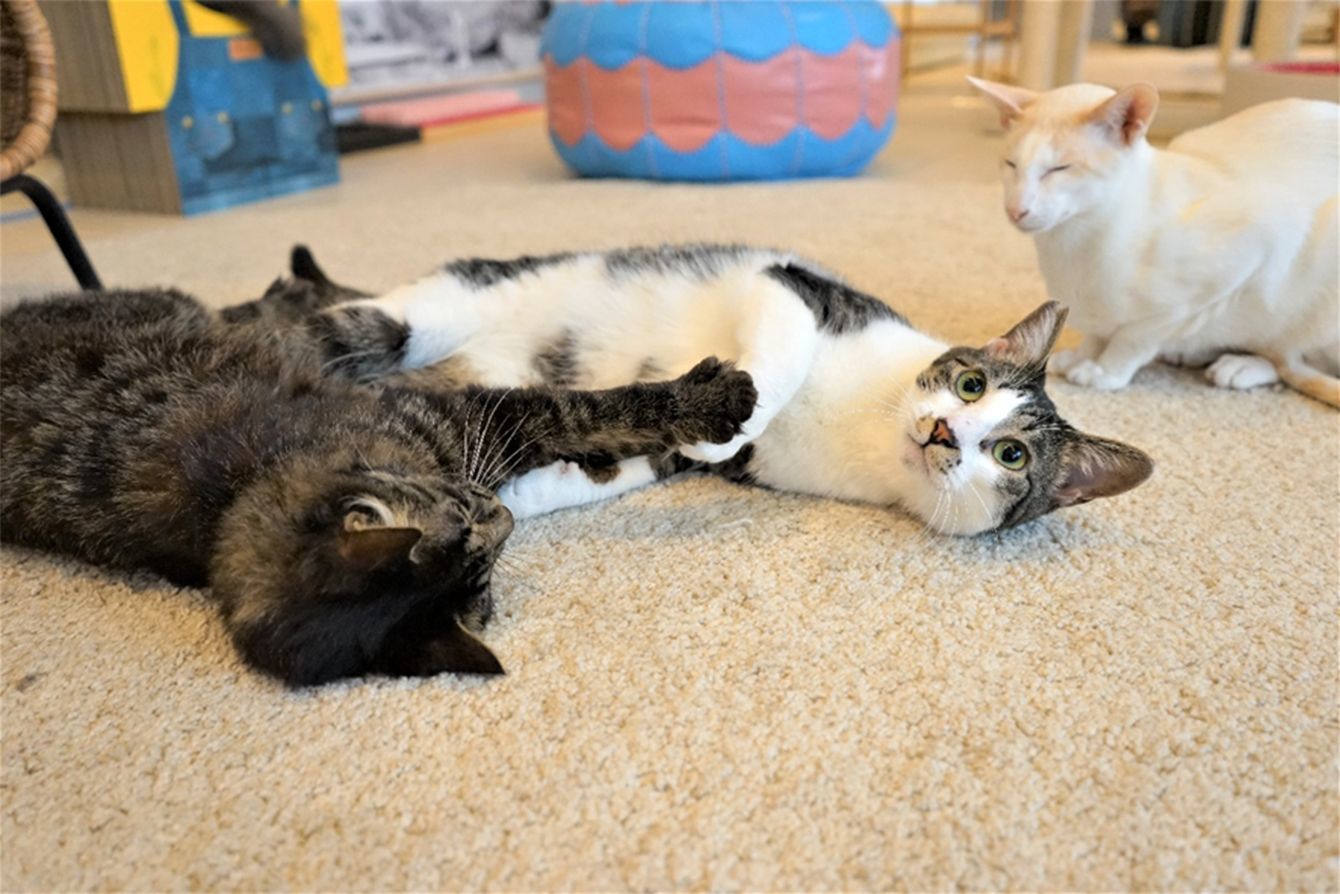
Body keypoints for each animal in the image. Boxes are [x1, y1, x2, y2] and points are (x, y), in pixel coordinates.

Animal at [0, 287, 757, 686]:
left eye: (465, 510)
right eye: (482, 569)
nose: (503, 516)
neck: (233, 499)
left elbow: (595, 412)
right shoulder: (487, 420)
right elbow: (596, 415)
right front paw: (706, 417)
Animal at [234, 244, 1154, 536]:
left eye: (1011, 456)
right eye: (969, 382)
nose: (942, 435)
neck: (870, 424)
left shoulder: (689, 460)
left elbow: (607, 468)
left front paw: (508, 502)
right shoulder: (793, 288)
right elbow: (781, 351)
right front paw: (737, 403)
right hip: (431, 310)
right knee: (320, 333)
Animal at [968, 77, 1340, 408]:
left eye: (1059, 169)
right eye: (1011, 164)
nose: (1016, 209)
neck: (1072, 247)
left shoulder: (1253, 245)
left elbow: (1136, 336)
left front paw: (1106, 369)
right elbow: (1098, 333)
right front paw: (1084, 354)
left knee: (1289, 356)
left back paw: (1240, 364)